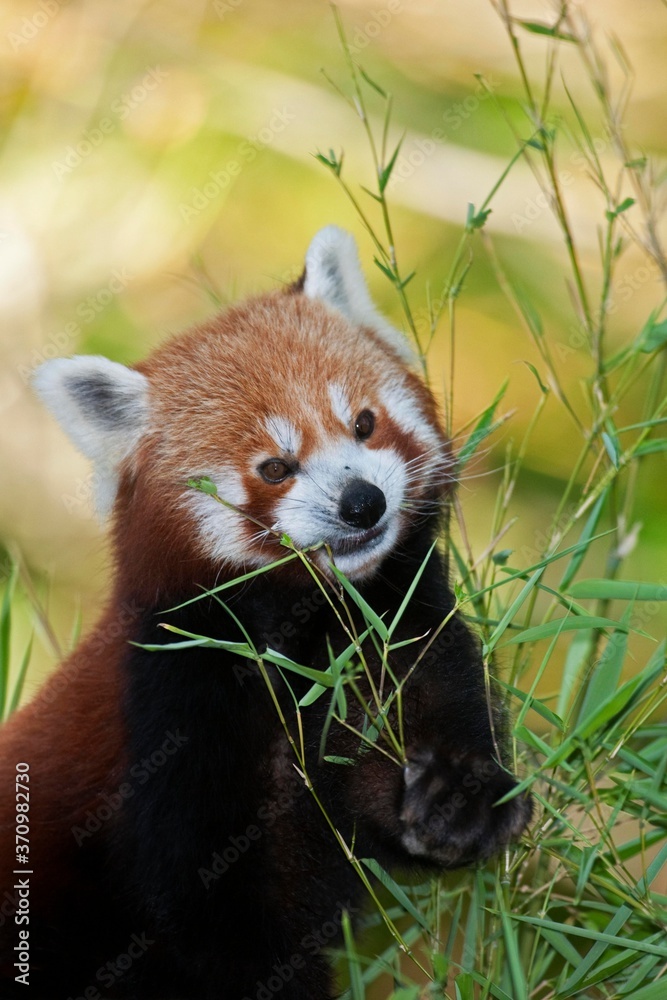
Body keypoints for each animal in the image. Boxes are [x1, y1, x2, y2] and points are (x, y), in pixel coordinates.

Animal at [0, 227, 531, 998]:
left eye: (364, 424)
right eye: (275, 467)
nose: (362, 503)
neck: (309, 631)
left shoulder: (398, 625)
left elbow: (428, 719)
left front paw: (461, 799)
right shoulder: (175, 710)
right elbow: (218, 922)